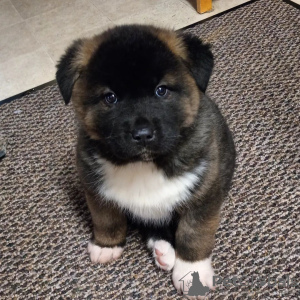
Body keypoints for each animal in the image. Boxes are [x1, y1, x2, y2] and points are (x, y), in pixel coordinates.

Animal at [55, 25, 234, 296]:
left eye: (162, 90)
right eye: (110, 97)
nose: (142, 135)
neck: (143, 164)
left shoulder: (204, 194)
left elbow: (194, 232)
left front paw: (192, 271)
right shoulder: (95, 187)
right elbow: (106, 219)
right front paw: (107, 246)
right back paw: (163, 251)